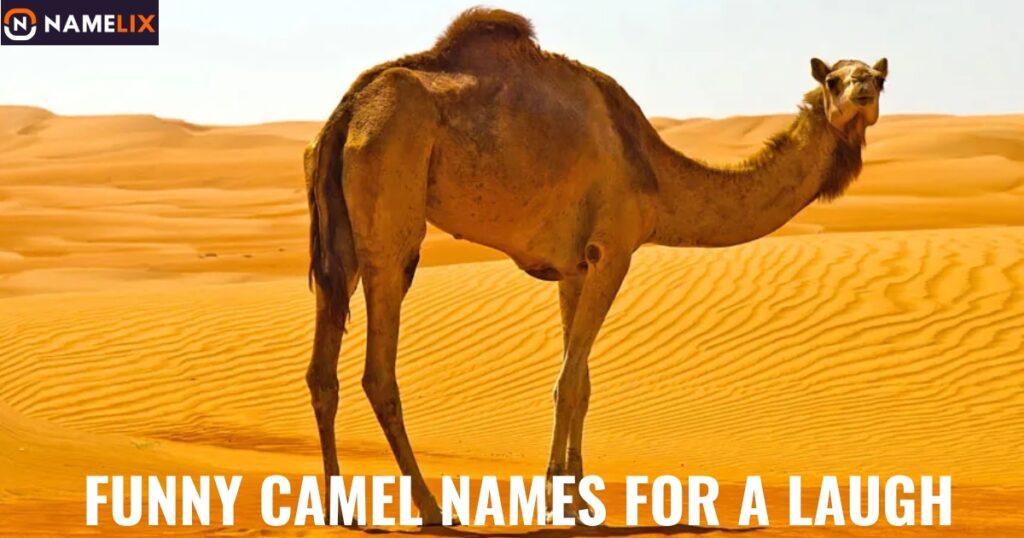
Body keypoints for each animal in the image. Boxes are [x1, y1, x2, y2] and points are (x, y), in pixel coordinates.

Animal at [304, 7, 887, 524]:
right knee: (379, 368)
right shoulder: (613, 251)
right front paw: (556, 500)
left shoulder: (573, 269)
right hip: (391, 193)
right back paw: (430, 507)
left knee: (322, 368)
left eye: (879, 78)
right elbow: (568, 383)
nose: (862, 90)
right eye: (833, 79)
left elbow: (581, 383)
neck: (655, 177)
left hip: (341, 234)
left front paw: (577, 498)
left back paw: (336, 508)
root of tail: (348, 111)